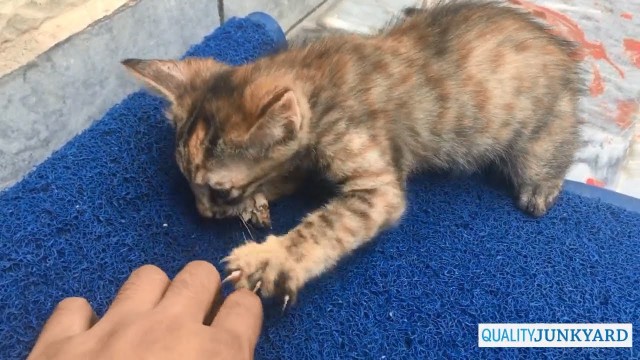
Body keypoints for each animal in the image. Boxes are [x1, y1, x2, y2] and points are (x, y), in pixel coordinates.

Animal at [122, 1, 584, 306]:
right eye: (188, 183)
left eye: (219, 191)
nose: (203, 214)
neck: (314, 82)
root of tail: (559, 48)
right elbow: (286, 174)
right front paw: (258, 202)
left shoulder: (376, 186)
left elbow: (324, 227)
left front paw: (268, 259)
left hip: (537, 127)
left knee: (557, 140)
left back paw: (541, 186)